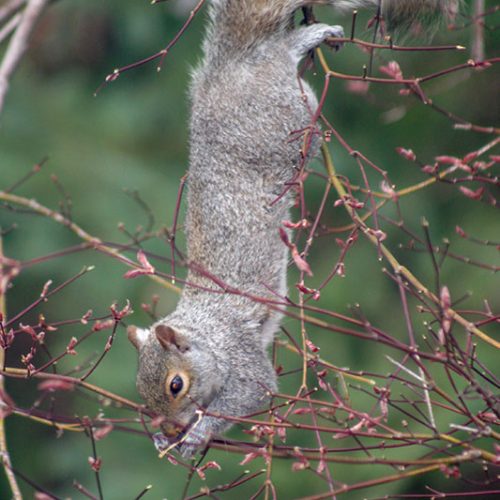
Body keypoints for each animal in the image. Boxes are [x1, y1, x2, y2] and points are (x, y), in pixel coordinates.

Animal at [128, 0, 460, 458]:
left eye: (176, 384)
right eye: (142, 394)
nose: (171, 424)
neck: (207, 332)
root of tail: (228, 67)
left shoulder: (240, 353)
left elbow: (253, 391)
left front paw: (197, 431)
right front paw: (165, 437)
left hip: (287, 120)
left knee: (281, 61)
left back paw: (303, 40)